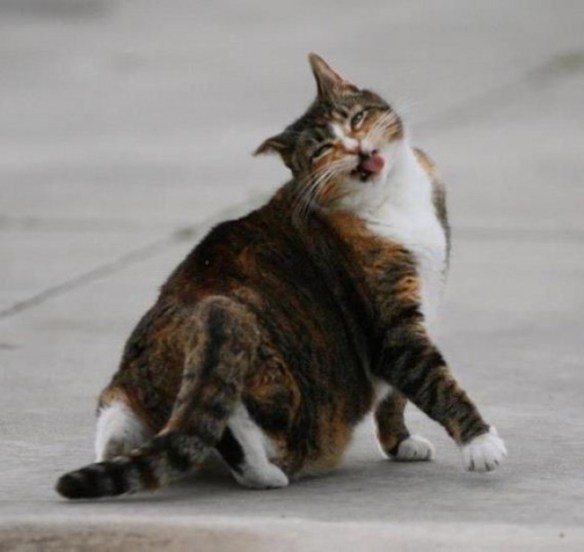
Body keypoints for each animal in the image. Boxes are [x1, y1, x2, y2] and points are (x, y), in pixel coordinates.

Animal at [56, 53, 506, 499]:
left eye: (357, 118)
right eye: (323, 148)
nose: (355, 146)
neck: (390, 195)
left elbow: (394, 397)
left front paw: (400, 443)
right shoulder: (392, 324)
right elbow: (433, 380)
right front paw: (480, 443)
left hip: (122, 402)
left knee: (120, 430)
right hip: (267, 367)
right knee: (227, 422)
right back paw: (263, 472)